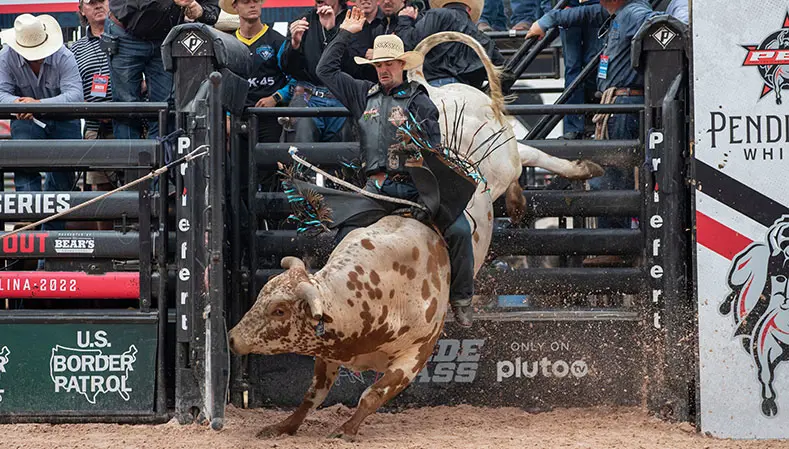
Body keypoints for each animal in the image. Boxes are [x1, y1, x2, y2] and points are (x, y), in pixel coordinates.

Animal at [228, 215, 450, 440]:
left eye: (280, 311)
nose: (232, 337)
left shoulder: (414, 356)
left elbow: (372, 395)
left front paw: (346, 431)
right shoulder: (328, 353)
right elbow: (313, 395)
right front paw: (283, 427)